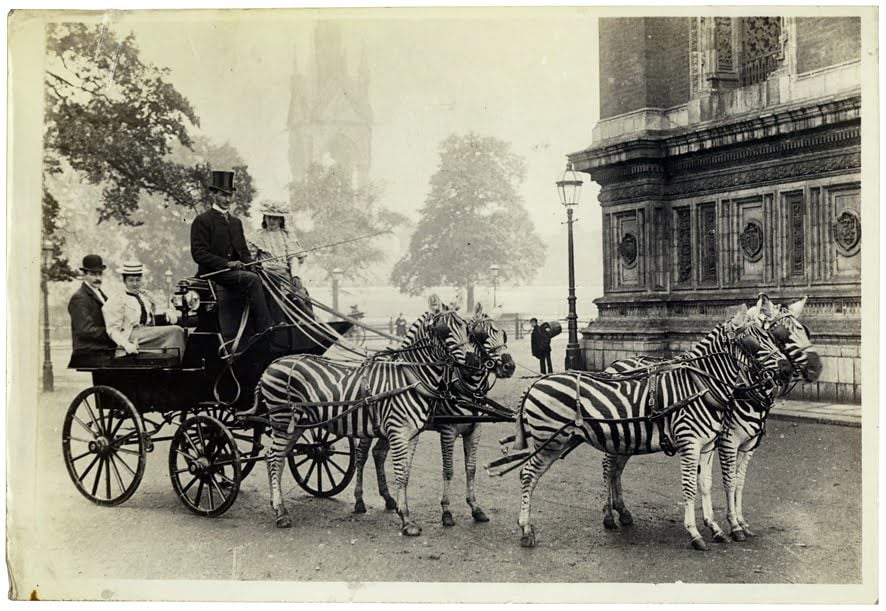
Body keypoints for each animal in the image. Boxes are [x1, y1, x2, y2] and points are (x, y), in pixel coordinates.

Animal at [255, 295, 475, 536]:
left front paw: (402, 512)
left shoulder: (412, 434)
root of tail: (272, 364)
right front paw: (406, 520)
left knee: (277, 458)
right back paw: (281, 513)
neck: (410, 377)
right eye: (444, 330)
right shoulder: (398, 432)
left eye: (466, 327)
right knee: (273, 457)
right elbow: (399, 473)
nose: (472, 362)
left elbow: (406, 474)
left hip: (296, 425)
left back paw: (277, 505)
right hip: (282, 421)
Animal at [352, 303, 516, 526]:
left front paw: (475, 508)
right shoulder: (448, 431)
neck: (467, 388)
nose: (509, 366)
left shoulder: (475, 430)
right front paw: (446, 511)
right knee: (361, 456)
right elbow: (448, 470)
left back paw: (388, 499)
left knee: (379, 454)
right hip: (369, 425)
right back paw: (359, 501)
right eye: (480, 335)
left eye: (503, 334)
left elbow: (471, 469)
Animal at [488, 305, 793, 550]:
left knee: (604, 469)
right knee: (528, 474)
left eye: (773, 337)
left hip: (601, 438)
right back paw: (527, 530)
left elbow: (707, 485)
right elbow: (691, 488)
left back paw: (614, 516)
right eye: (752, 341)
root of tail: (535, 382)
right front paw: (696, 533)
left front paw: (717, 528)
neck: (700, 384)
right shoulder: (694, 443)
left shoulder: (708, 445)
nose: (787, 370)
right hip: (549, 441)